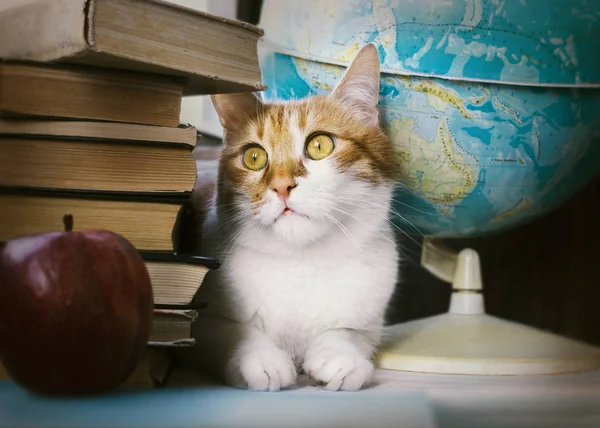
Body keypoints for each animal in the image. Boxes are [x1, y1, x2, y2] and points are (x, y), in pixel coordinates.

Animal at [190, 44, 400, 392]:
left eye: (320, 145)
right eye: (254, 156)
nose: (281, 186)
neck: (302, 260)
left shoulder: (372, 317)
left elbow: (350, 332)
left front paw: (339, 356)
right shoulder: (199, 319)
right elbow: (227, 329)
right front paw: (262, 360)